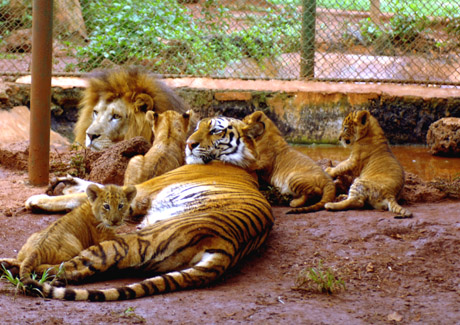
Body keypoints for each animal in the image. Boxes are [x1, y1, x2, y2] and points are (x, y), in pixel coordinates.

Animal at [0, 184, 136, 280]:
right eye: (106, 206)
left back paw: (6, 264)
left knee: (20, 262)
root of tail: (37, 250)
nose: (115, 221)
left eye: (120, 206)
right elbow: (123, 236)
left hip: (28, 245)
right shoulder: (104, 237)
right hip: (75, 247)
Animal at [20, 115, 274, 300]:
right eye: (197, 127)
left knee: (67, 267)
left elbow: (90, 195)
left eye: (215, 130)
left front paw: (37, 199)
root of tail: (227, 247)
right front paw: (68, 182)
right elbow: (96, 187)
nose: (190, 144)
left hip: (126, 242)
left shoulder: (141, 192)